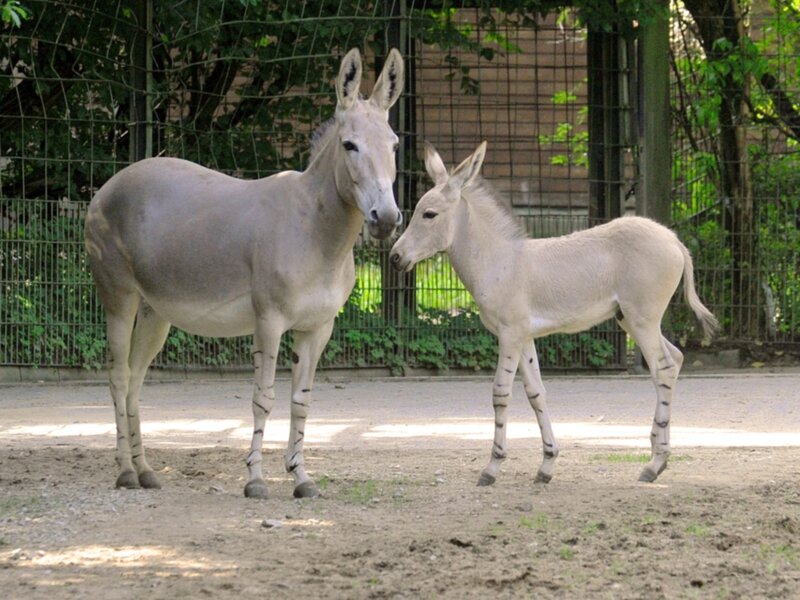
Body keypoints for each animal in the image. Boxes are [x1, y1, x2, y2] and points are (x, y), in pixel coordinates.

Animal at [85, 48, 405, 499]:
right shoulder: (268, 321)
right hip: (119, 297)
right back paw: (126, 472)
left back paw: (146, 471)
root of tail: (111, 183)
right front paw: (255, 479)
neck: (315, 230)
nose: (386, 219)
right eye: (350, 145)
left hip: (154, 312)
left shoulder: (318, 328)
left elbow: (301, 401)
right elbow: (263, 397)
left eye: (394, 145)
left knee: (135, 378)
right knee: (117, 374)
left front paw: (301, 478)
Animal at [390, 141, 719, 485]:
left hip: (643, 320)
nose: (394, 257)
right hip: (631, 320)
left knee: (663, 367)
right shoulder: (524, 337)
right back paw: (658, 454)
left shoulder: (509, 335)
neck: (498, 262)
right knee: (675, 359)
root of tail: (673, 240)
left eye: (429, 214)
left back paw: (655, 464)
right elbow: (536, 392)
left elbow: (500, 393)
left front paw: (492, 467)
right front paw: (547, 464)